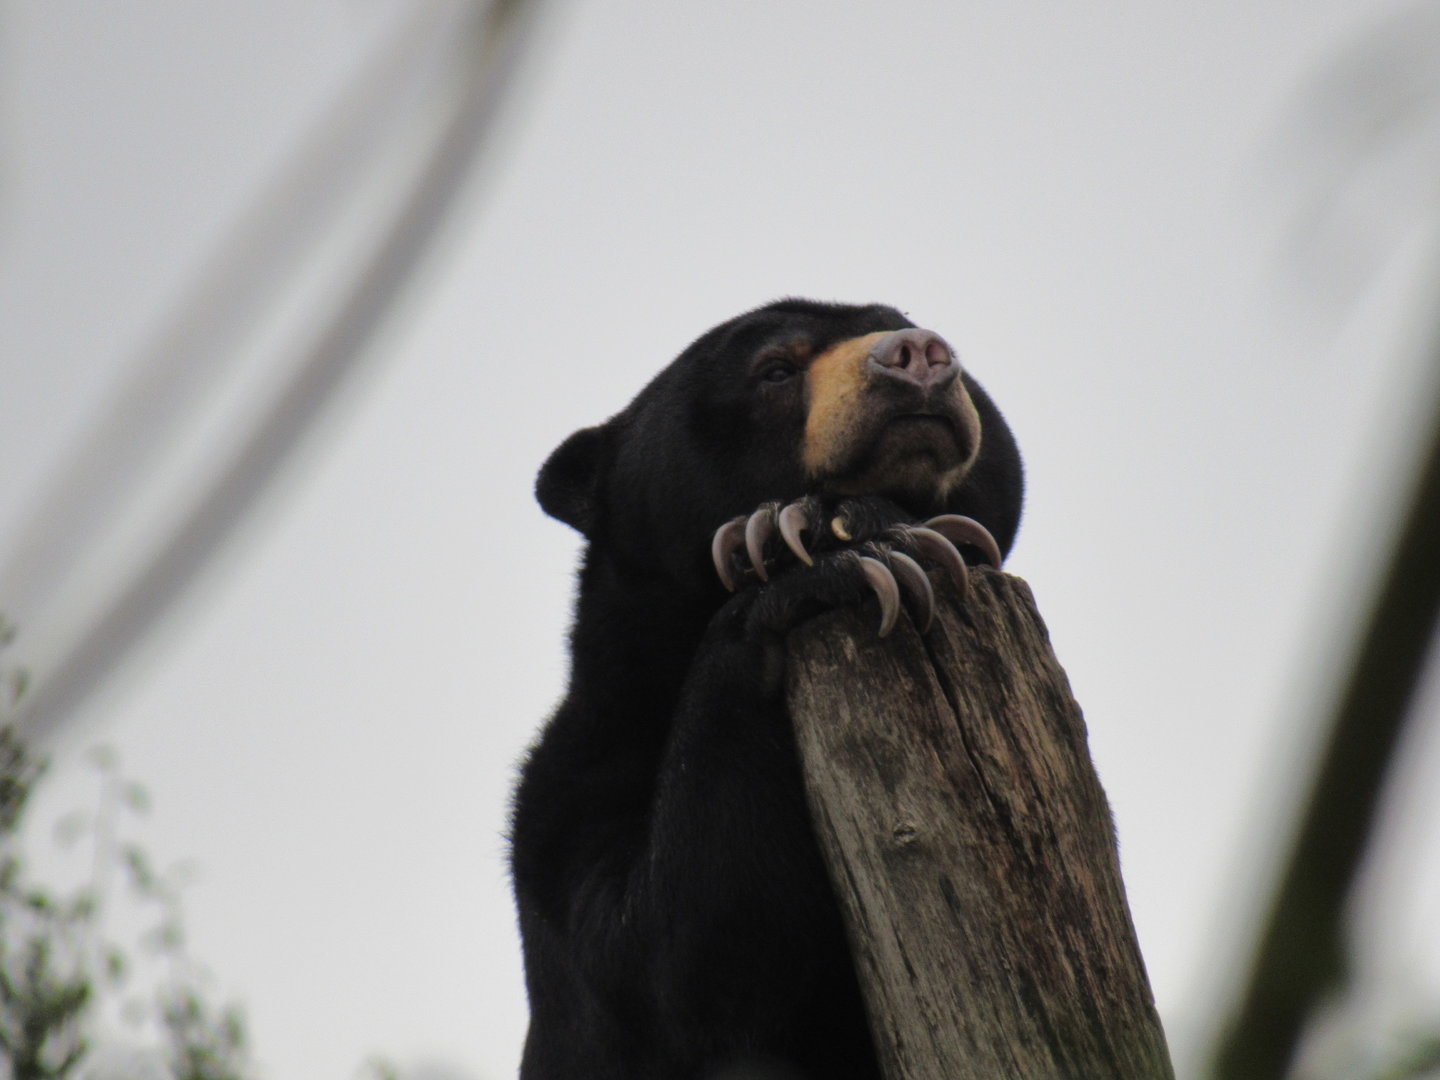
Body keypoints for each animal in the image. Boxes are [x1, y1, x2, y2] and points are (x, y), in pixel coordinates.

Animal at [511, 298, 1024, 1080]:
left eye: (897, 322)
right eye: (775, 369)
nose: (918, 354)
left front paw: (856, 526)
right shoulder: (561, 812)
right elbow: (678, 959)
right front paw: (819, 548)